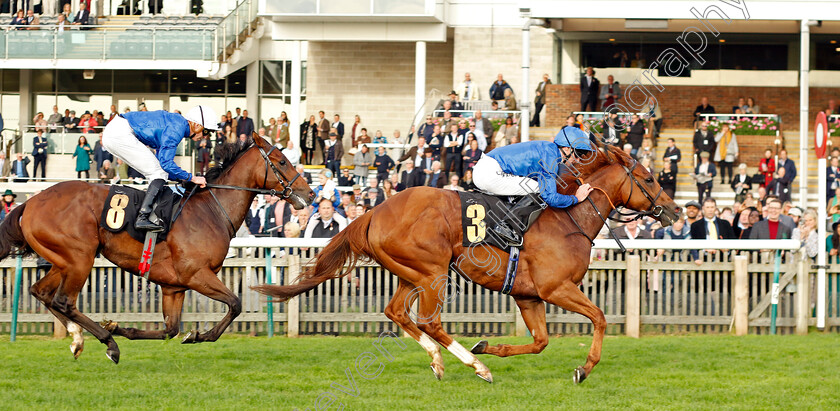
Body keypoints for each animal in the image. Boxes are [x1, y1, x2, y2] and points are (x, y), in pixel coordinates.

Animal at [0, 135, 314, 364]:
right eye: (282, 161)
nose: (310, 193)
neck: (210, 209)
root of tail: (29, 202)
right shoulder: (196, 275)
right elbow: (235, 304)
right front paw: (197, 336)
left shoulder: (173, 286)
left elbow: (170, 329)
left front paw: (124, 328)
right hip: (79, 258)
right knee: (64, 300)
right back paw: (109, 345)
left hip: (63, 259)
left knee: (41, 292)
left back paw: (78, 339)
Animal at [253, 143, 680, 384]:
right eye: (647, 178)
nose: (675, 211)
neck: (568, 217)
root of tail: (374, 211)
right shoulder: (556, 288)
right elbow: (601, 318)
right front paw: (584, 369)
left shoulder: (529, 296)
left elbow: (540, 342)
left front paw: (489, 345)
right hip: (432, 271)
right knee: (429, 321)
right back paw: (476, 368)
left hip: (413, 273)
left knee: (397, 311)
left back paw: (441, 361)